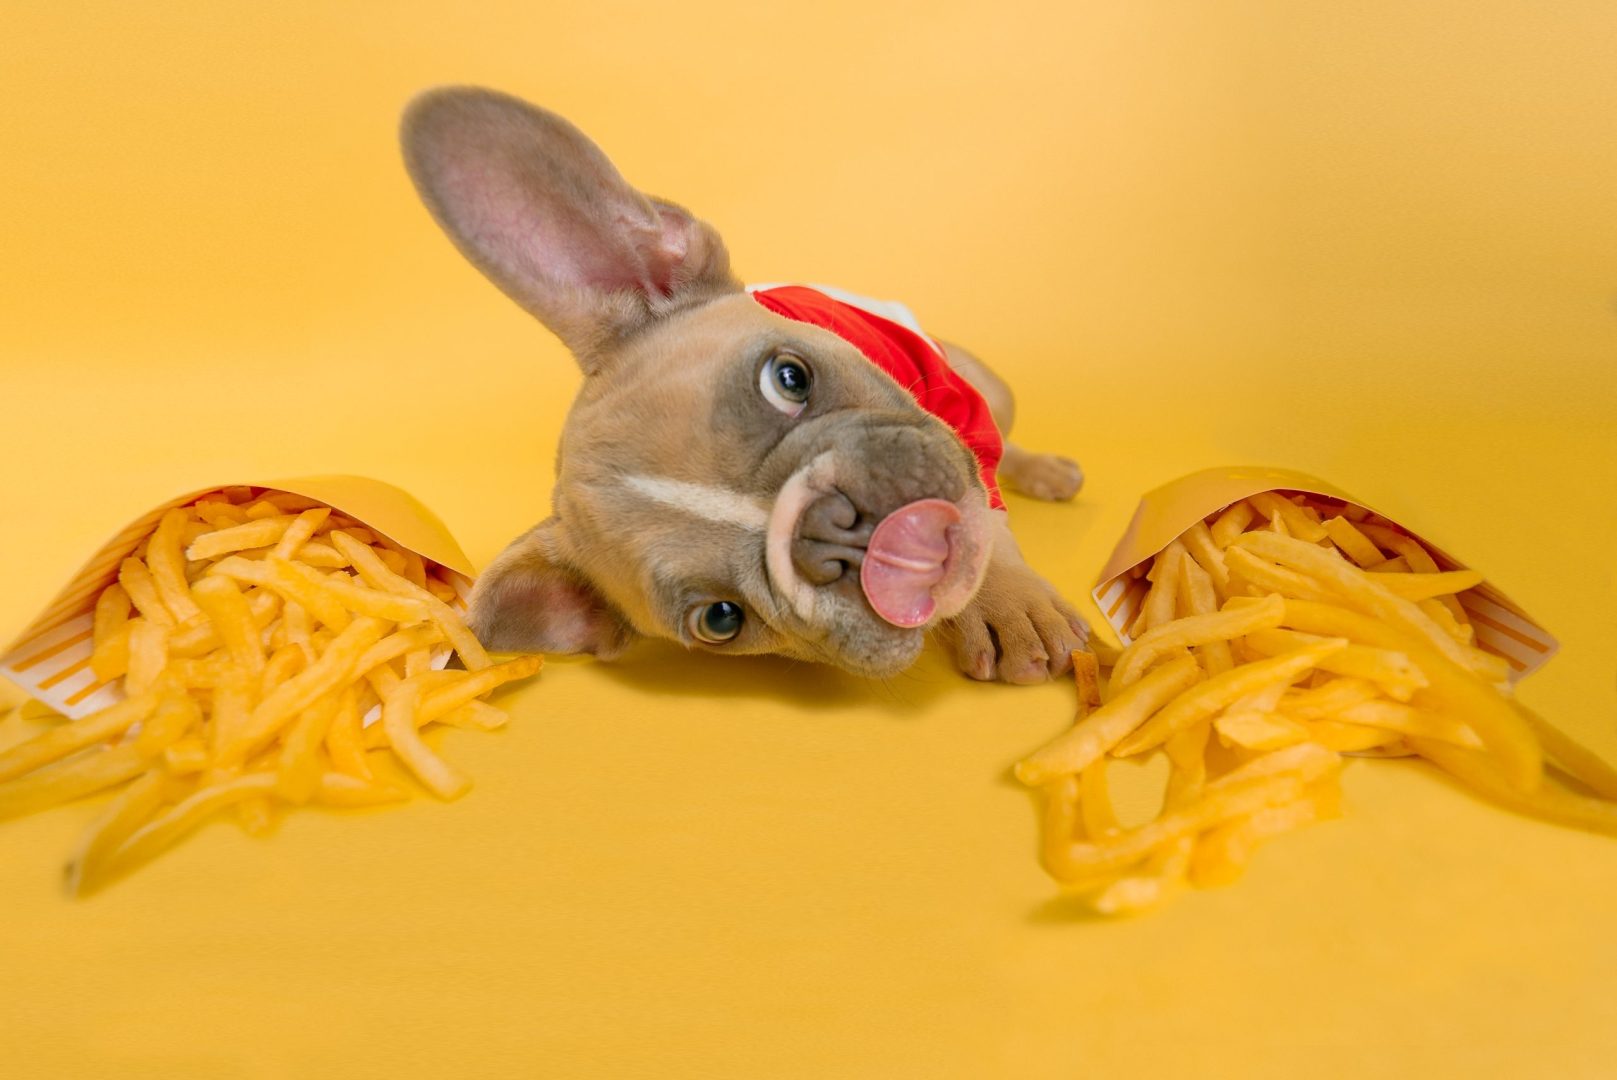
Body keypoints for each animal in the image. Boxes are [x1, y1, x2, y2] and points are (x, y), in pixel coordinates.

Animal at [397, 86, 1093, 682]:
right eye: (722, 619)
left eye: (789, 377)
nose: (838, 529)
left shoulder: (957, 412)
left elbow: (986, 508)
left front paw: (1007, 601)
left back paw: (1044, 472)